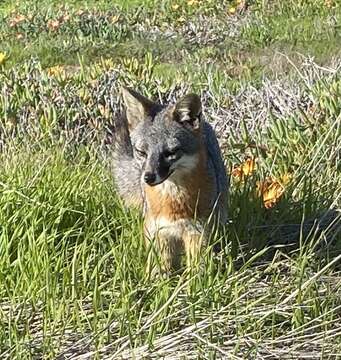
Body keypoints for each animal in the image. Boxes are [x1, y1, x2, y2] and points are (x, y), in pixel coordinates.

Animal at [110, 88, 228, 272]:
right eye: (141, 152)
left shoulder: (198, 232)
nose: (148, 177)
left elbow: (198, 269)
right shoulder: (160, 233)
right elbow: (161, 268)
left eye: (170, 153)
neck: (174, 204)